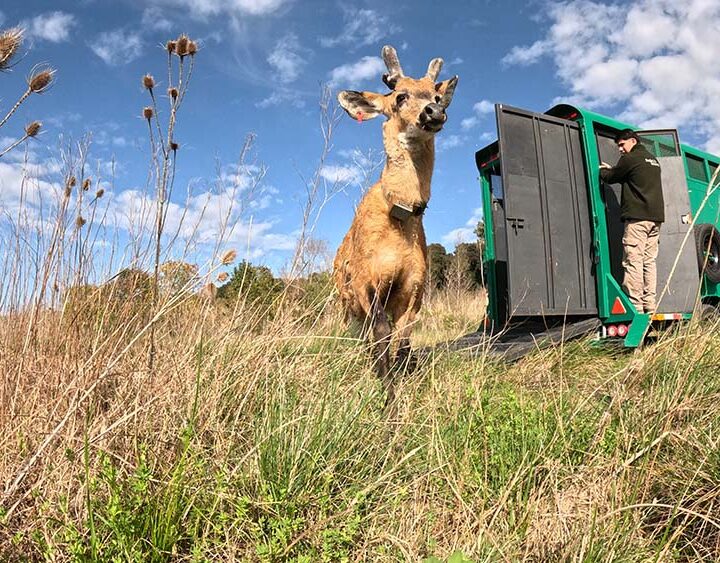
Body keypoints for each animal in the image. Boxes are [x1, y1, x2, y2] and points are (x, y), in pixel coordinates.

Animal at [333, 45, 458, 409]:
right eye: (400, 96)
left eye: (436, 95)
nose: (434, 111)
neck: (398, 215)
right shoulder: (367, 281)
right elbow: (381, 341)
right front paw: (388, 401)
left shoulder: (413, 290)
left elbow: (402, 343)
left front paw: (402, 391)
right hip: (344, 301)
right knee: (358, 336)